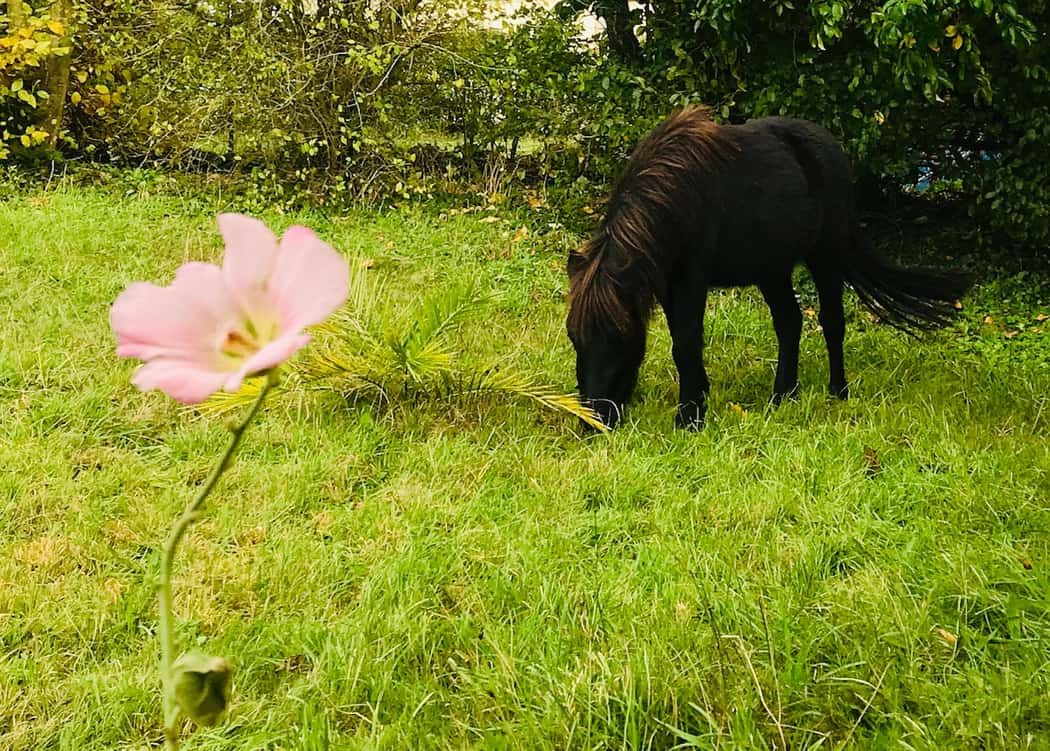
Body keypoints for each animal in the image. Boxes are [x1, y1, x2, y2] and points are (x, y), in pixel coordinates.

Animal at [566, 106, 972, 430]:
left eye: (617, 337)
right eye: (574, 337)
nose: (594, 422)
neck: (675, 194)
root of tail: (833, 148)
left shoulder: (691, 279)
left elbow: (685, 343)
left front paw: (690, 417)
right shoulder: (666, 282)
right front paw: (700, 398)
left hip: (825, 256)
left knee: (831, 322)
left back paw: (837, 391)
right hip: (772, 270)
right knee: (789, 322)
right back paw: (783, 395)